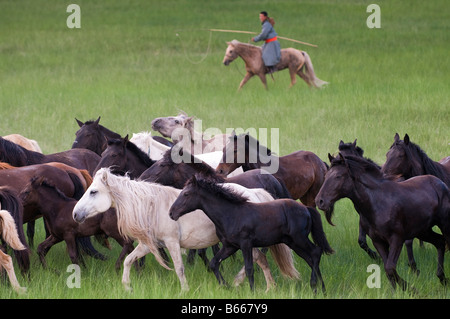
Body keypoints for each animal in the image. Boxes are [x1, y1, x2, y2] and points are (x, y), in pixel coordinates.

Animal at [73, 170, 298, 292]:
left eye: (93, 192)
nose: (75, 214)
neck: (152, 207)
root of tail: (256, 193)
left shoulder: (172, 242)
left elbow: (179, 268)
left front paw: (185, 290)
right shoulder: (149, 245)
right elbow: (129, 260)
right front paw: (127, 286)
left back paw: (239, 282)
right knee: (262, 260)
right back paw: (268, 287)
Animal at [171, 176, 332, 294]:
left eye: (186, 194)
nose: (171, 213)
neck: (231, 214)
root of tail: (306, 209)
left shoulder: (245, 244)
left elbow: (249, 268)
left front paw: (251, 291)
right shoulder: (230, 246)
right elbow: (213, 263)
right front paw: (226, 286)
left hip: (299, 239)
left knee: (316, 252)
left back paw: (315, 286)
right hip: (292, 242)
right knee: (310, 259)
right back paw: (322, 289)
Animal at [314, 155, 450, 292]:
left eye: (338, 176)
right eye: (326, 176)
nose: (319, 201)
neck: (377, 203)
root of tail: (441, 183)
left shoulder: (397, 239)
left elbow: (390, 268)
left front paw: (412, 290)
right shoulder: (378, 241)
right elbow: (387, 269)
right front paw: (396, 291)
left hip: (443, 225)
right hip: (423, 231)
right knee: (440, 242)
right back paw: (442, 279)